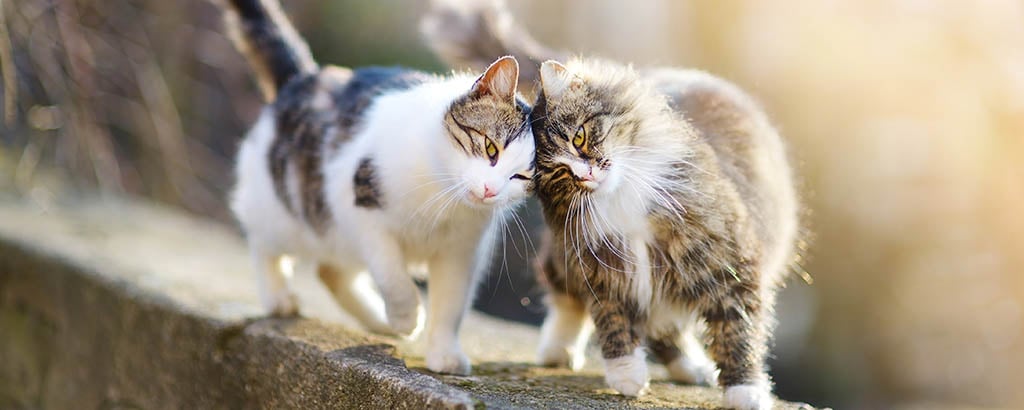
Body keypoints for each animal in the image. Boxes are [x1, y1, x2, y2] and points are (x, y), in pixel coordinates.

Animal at [220, 0, 532, 375]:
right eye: (490, 148)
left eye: (522, 177)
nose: (490, 190)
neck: (443, 199)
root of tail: (304, 77)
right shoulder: (362, 209)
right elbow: (393, 276)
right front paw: (406, 316)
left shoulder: (462, 252)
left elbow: (451, 304)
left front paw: (443, 353)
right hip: (287, 209)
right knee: (262, 241)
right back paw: (279, 296)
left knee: (330, 271)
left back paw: (378, 322)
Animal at [421, 1, 798, 407]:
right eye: (559, 174)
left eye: (579, 138)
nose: (586, 174)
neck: (622, 202)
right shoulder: (601, 266)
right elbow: (614, 322)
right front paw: (627, 375)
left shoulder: (727, 263)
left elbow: (737, 333)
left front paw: (746, 391)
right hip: (565, 255)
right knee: (570, 299)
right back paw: (559, 351)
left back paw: (692, 369)